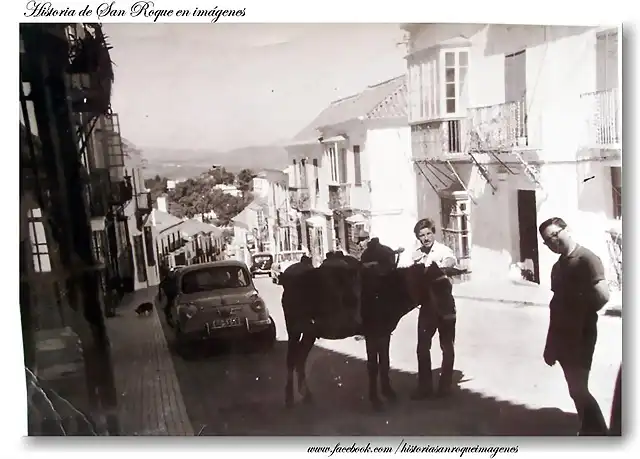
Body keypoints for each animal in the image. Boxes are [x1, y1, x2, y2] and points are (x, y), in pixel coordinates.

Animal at [280, 246, 460, 412]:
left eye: (449, 287)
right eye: (435, 288)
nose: (451, 316)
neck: (386, 293)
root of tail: (289, 282)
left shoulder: (384, 334)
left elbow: (385, 363)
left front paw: (388, 393)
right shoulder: (371, 335)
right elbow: (373, 366)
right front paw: (376, 401)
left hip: (309, 332)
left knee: (300, 359)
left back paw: (306, 395)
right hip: (294, 329)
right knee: (290, 360)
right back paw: (289, 399)